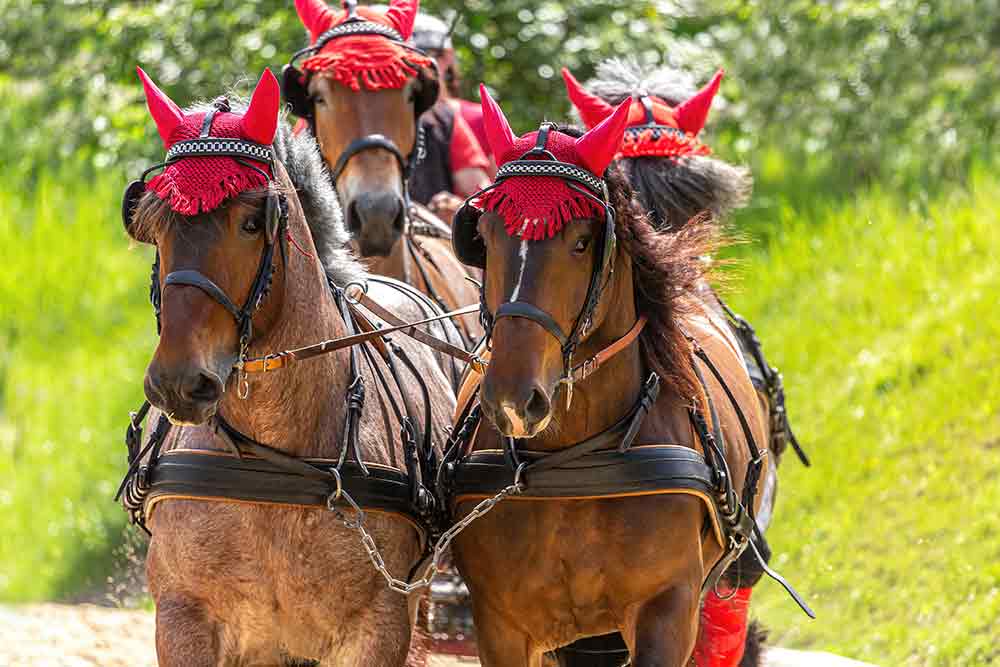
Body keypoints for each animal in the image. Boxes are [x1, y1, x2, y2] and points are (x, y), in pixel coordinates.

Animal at [118, 68, 458, 667]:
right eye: (152, 224)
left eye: (253, 222)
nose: (178, 382)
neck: (272, 455)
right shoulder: (183, 618)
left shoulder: (380, 627)